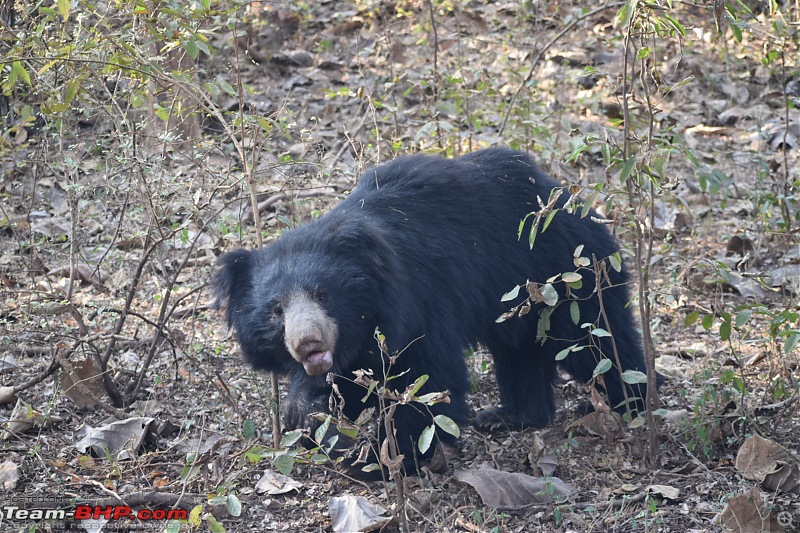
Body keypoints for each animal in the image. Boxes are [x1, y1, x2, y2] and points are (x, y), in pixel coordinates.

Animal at [214, 148, 656, 468]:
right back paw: (509, 415)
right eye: (276, 310)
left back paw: (628, 403)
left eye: (324, 295)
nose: (308, 345)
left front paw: (379, 460)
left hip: (569, 274)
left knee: (596, 341)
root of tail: (567, 196)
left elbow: (428, 379)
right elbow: (342, 386)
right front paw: (306, 414)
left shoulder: (419, 303)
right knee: (520, 351)